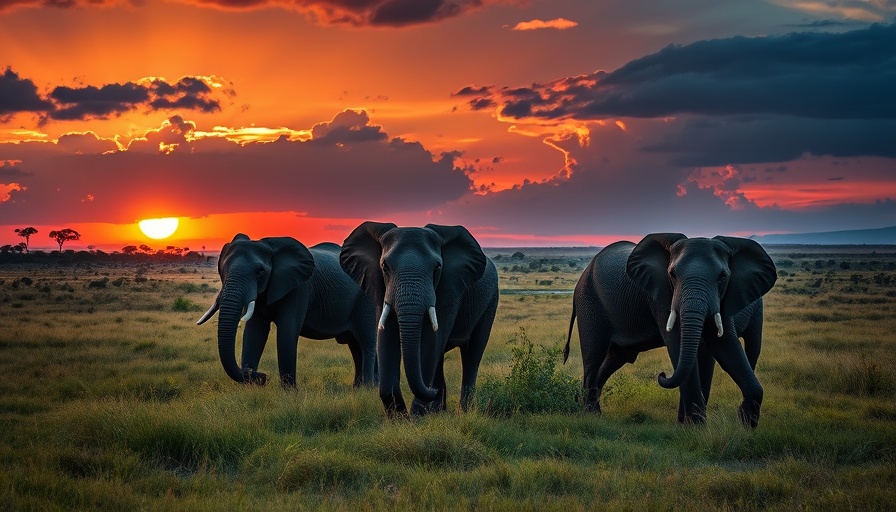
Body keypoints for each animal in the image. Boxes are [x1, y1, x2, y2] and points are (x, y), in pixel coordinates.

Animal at [196, 234, 377, 388]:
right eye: (222, 270)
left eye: (260, 272)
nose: (262, 376)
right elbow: (254, 333)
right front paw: (249, 389)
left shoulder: (299, 288)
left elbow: (287, 332)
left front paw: (289, 393)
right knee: (355, 345)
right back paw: (361, 387)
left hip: (367, 299)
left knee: (366, 342)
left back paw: (366, 388)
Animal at [340, 222, 499, 416]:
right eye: (384, 267)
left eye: (437, 268)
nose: (432, 391)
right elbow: (386, 337)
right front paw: (399, 419)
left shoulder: (449, 289)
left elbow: (431, 340)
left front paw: (416, 417)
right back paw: (439, 409)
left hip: (490, 301)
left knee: (472, 352)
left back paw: (462, 411)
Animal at [564, 234, 777, 427]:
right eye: (672, 275)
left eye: (722, 277)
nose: (662, 375)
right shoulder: (661, 295)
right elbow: (679, 344)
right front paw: (696, 427)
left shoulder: (724, 298)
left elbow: (724, 345)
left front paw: (746, 423)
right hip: (589, 301)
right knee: (594, 356)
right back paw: (591, 415)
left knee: (616, 356)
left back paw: (588, 408)